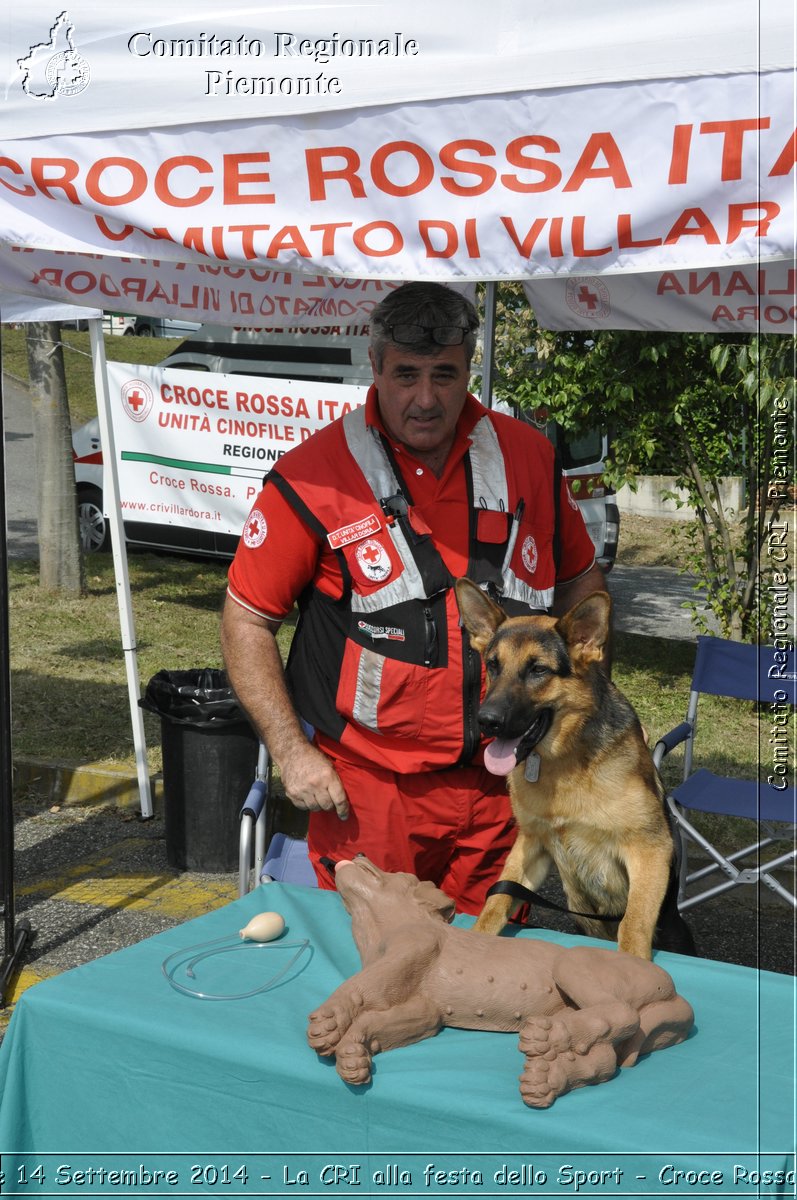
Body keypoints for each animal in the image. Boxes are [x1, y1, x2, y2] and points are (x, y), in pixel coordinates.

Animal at [458, 576, 696, 960]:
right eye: (493, 665)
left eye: (538, 669)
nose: (486, 721)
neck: (563, 762)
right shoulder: (531, 846)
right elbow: (497, 900)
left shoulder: (649, 852)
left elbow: (633, 923)